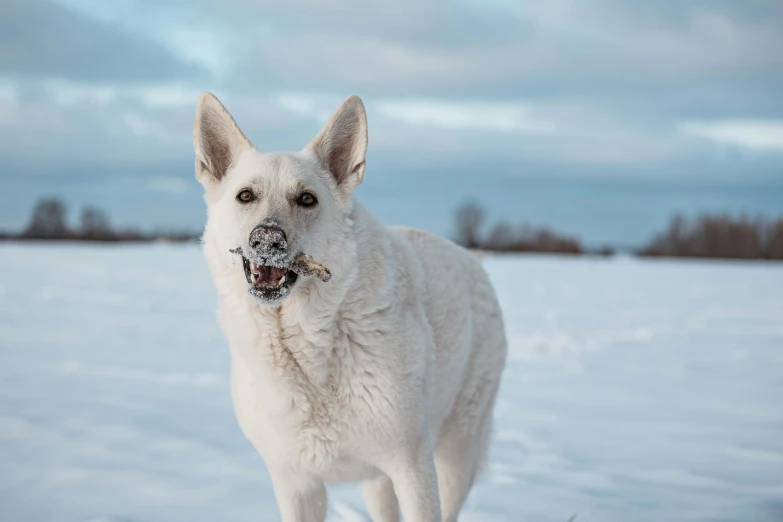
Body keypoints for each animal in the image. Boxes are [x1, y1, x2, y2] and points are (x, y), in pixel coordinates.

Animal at [196, 91, 508, 516]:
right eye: (245, 196)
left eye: (307, 199)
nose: (267, 239)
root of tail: (471, 260)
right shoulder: (296, 484)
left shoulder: (412, 464)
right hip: (379, 482)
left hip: (456, 455)